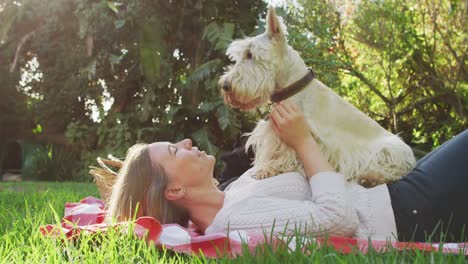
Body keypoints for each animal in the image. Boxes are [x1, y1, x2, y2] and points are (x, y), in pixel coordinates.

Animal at [218, 5, 414, 184]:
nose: (225, 85)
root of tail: (411, 155)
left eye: (250, 54)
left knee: (394, 171)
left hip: (389, 152)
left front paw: (269, 168)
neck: (294, 87)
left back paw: (372, 177)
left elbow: (287, 154)